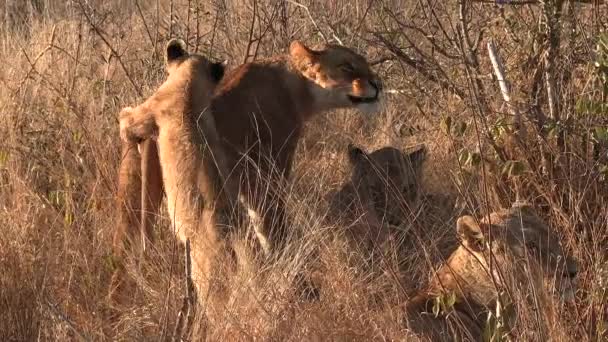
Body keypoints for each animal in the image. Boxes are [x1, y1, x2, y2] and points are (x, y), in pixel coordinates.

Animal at [114, 40, 382, 256]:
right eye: (347, 67)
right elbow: (270, 226)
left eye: (364, 63)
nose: (378, 82)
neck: (295, 89)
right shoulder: (264, 176)